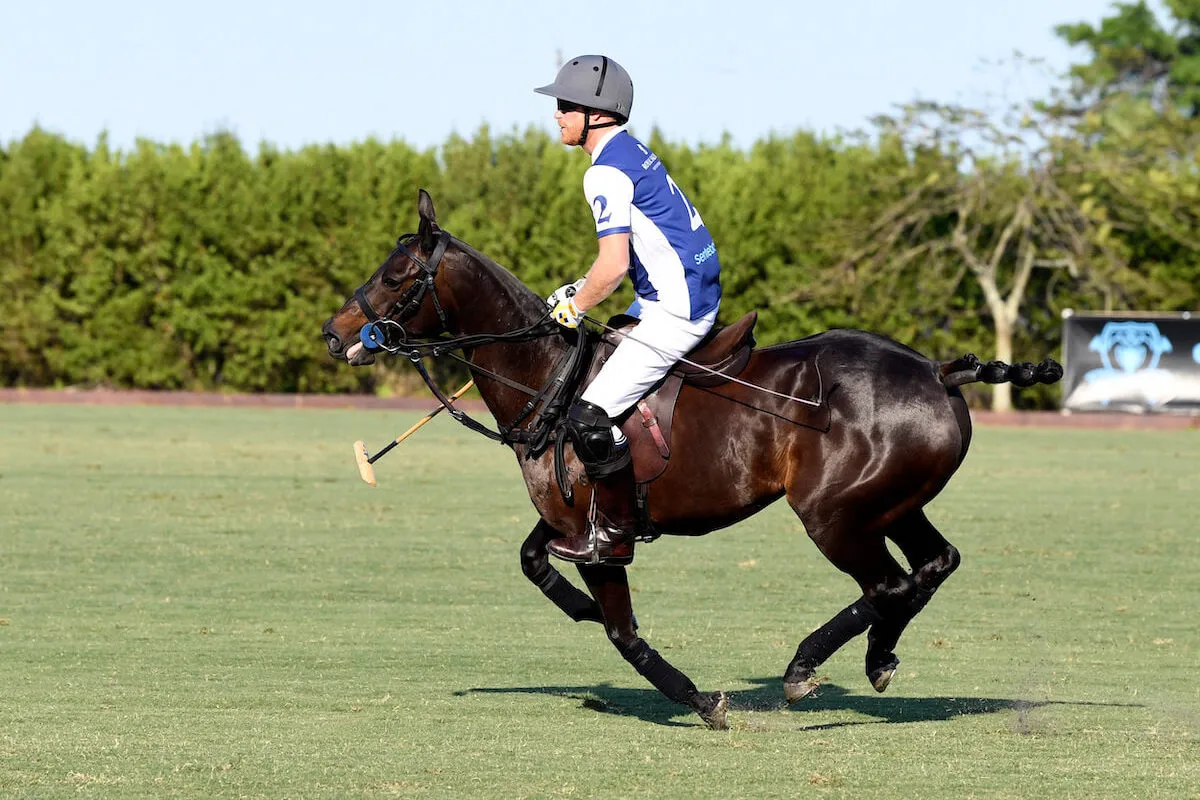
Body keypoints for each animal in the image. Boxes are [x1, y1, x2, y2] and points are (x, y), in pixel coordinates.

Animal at [319, 190, 1060, 729]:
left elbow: (622, 631)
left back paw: (803, 669)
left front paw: (704, 701)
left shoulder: (598, 537)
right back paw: (879, 658)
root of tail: (937, 370)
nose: (334, 334)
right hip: (893, 501)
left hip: (834, 513)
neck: (549, 376)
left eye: (395, 277)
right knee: (933, 565)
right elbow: (534, 560)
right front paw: (580, 610)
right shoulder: (572, 520)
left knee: (886, 584)